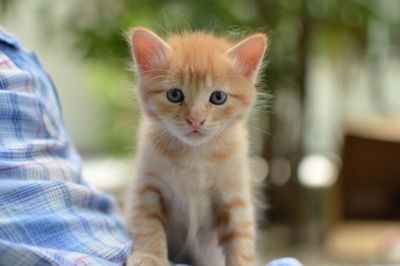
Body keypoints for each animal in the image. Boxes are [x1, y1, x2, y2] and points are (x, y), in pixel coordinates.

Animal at [126, 27, 268, 266]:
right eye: (174, 94)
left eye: (218, 97)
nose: (195, 120)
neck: (194, 156)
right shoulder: (146, 189)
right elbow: (148, 226)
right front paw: (149, 256)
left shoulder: (235, 198)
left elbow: (241, 238)